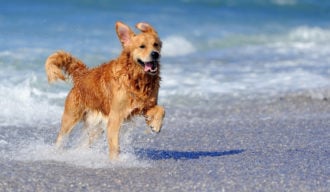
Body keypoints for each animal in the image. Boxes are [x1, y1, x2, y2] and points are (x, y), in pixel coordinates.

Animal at [44, 21, 165, 159]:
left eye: (156, 45)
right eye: (142, 46)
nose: (155, 54)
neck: (136, 78)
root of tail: (83, 74)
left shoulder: (143, 106)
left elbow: (161, 109)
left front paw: (155, 125)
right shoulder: (116, 117)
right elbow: (114, 147)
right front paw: (115, 161)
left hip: (97, 126)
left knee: (85, 142)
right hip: (70, 118)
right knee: (61, 138)